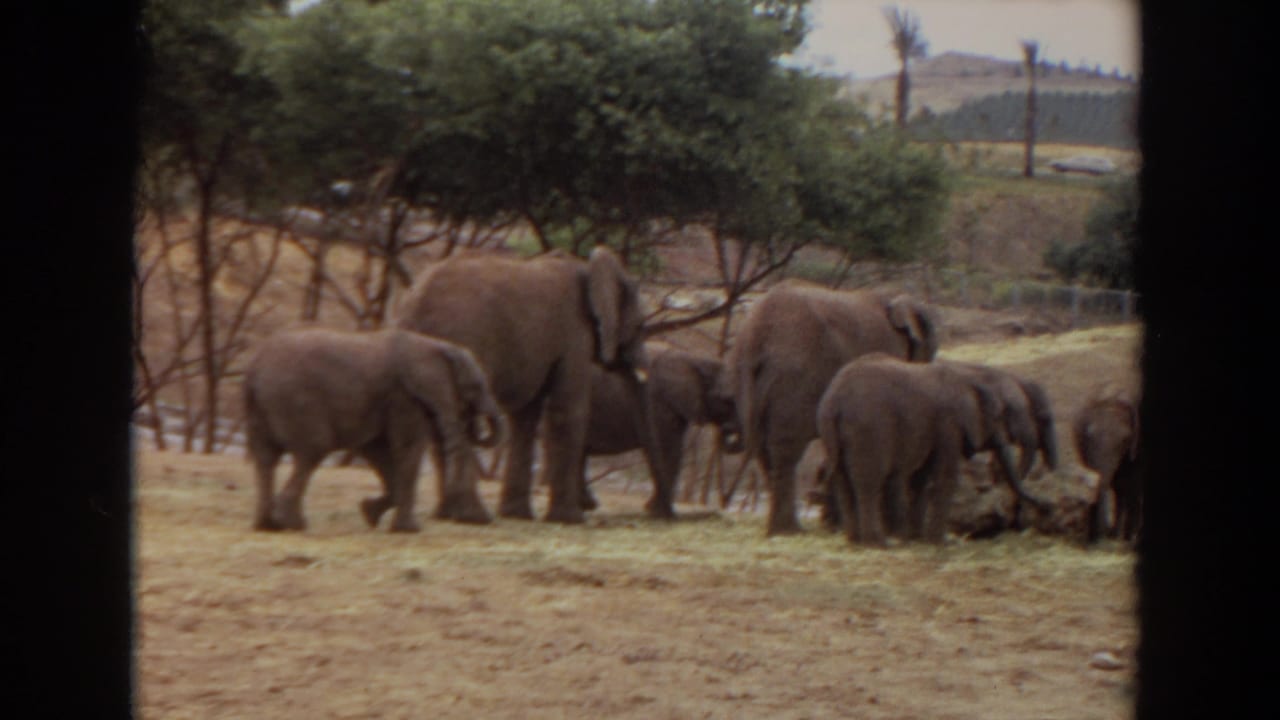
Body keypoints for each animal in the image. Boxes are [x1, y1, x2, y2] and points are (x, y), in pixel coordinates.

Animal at [243, 327, 503, 533]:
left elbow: (378, 450)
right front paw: (408, 530)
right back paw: (291, 523)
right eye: (476, 386)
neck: (436, 345)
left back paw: (268, 525)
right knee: (313, 451)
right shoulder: (405, 397)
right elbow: (407, 448)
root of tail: (254, 367)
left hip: (259, 407)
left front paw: (369, 512)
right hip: (297, 402)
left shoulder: (387, 401)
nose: (472, 423)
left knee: (266, 458)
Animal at [394, 246, 650, 524]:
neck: (590, 268)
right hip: (461, 336)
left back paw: (447, 514)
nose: (590, 506)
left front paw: (517, 515)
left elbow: (526, 416)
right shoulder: (575, 334)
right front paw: (571, 519)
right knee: (456, 417)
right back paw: (474, 516)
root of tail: (414, 301)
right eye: (640, 325)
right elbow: (567, 411)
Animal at [578, 342, 742, 519]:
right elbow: (668, 449)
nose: (727, 428)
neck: (694, 359)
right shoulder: (658, 402)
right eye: (727, 400)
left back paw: (588, 505)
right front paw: (656, 511)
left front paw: (653, 509)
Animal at [717, 279, 940, 535]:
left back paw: (782, 528)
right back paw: (790, 530)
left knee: (762, 449)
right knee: (785, 450)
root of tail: (755, 336)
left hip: (743, 379)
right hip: (796, 378)